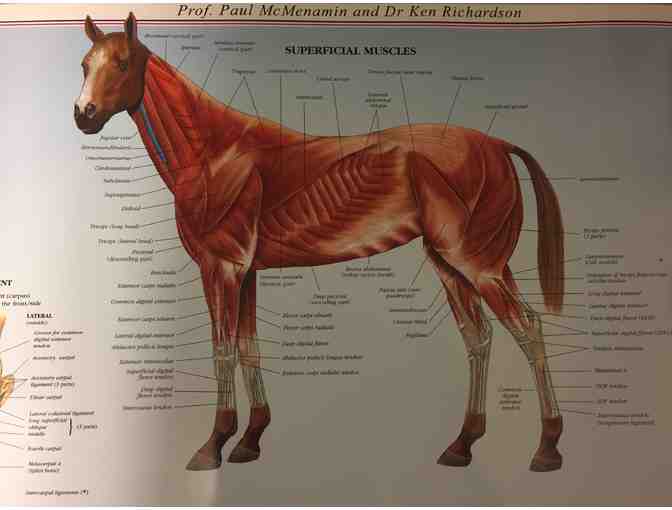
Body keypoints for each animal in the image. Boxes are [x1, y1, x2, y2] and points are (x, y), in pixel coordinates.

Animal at [74, 13, 566, 472]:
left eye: (122, 63)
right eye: (84, 64)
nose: (84, 113)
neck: (216, 155)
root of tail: (497, 143)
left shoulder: (222, 268)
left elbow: (223, 351)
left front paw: (214, 443)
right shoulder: (247, 273)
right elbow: (249, 348)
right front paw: (250, 439)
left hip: (478, 264)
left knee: (528, 328)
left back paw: (547, 446)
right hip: (450, 265)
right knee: (479, 338)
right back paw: (463, 443)